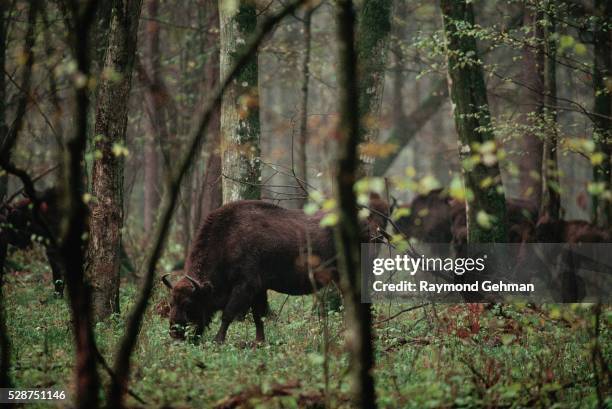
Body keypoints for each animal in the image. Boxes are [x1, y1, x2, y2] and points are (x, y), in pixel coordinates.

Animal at [159, 197, 388, 342]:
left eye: (189, 302)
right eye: (171, 302)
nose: (174, 333)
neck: (227, 239)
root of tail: (368, 226)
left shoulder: (245, 286)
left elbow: (228, 314)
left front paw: (218, 340)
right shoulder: (258, 289)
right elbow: (257, 316)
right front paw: (260, 342)